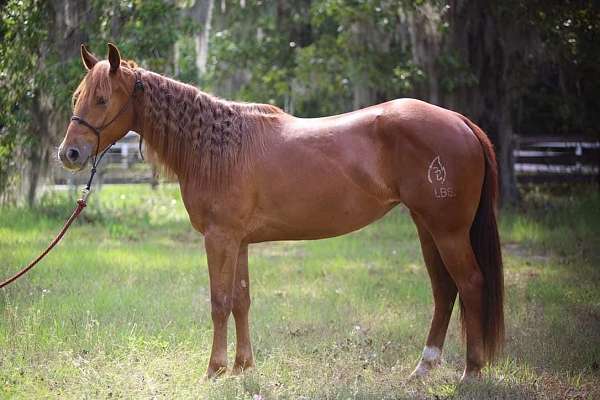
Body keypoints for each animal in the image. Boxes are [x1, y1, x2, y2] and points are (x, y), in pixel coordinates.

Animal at [59, 43, 502, 382]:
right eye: (76, 97)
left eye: (102, 99)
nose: (70, 154)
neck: (217, 146)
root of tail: (459, 121)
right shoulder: (238, 242)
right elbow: (241, 300)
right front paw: (243, 367)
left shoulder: (219, 239)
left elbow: (219, 302)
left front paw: (214, 370)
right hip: (427, 227)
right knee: (444, 290)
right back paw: (424, 369)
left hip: (447, 231)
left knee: (470, 283)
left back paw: (471, 373)